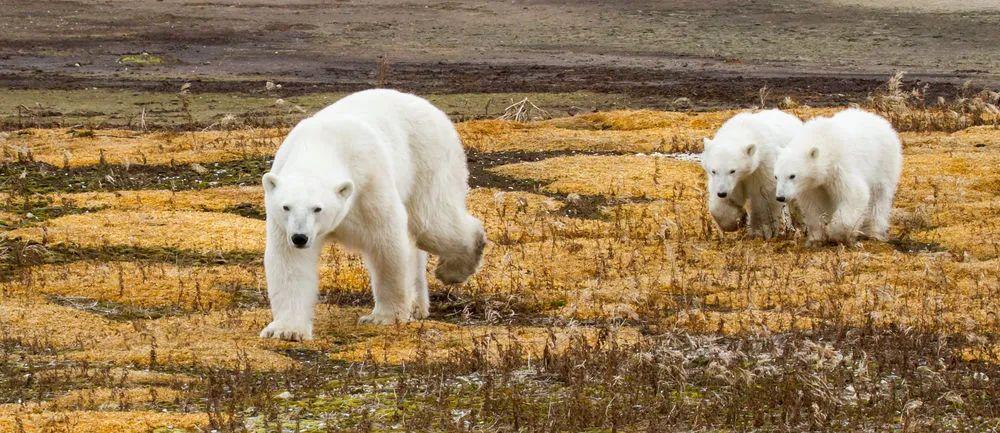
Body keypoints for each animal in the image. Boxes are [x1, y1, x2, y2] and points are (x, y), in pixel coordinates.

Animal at [258, 89, 484, 340]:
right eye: (286, 207)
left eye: (317, 208)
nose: (300, 237)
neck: (322, 144)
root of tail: (428, 105)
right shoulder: (282, 223)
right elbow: (290, 262)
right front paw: (286, 330)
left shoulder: (369, 184)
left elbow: (386, 243)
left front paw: (384, 317)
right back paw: (418, 306)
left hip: (427, 160)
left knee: (432, 223)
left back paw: (454, 268)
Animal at [704, 108, 804, 236]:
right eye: (713, 171)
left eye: (732, 171)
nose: (721, 193)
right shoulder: (731, 182)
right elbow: (724, 202)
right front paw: (737, 220)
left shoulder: (763, 165)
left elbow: (764, 197)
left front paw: (761, 230)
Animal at [768, 108, 904, 243]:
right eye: (776, 176)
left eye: (792, 176)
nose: (780, 197)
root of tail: (880, 120)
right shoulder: (814, 184)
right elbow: (812, 204)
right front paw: (816, 237)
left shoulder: (840, 167)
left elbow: (855, 194)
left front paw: (835, 233)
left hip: (883, 162)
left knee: (879, 195)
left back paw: (873, 232)